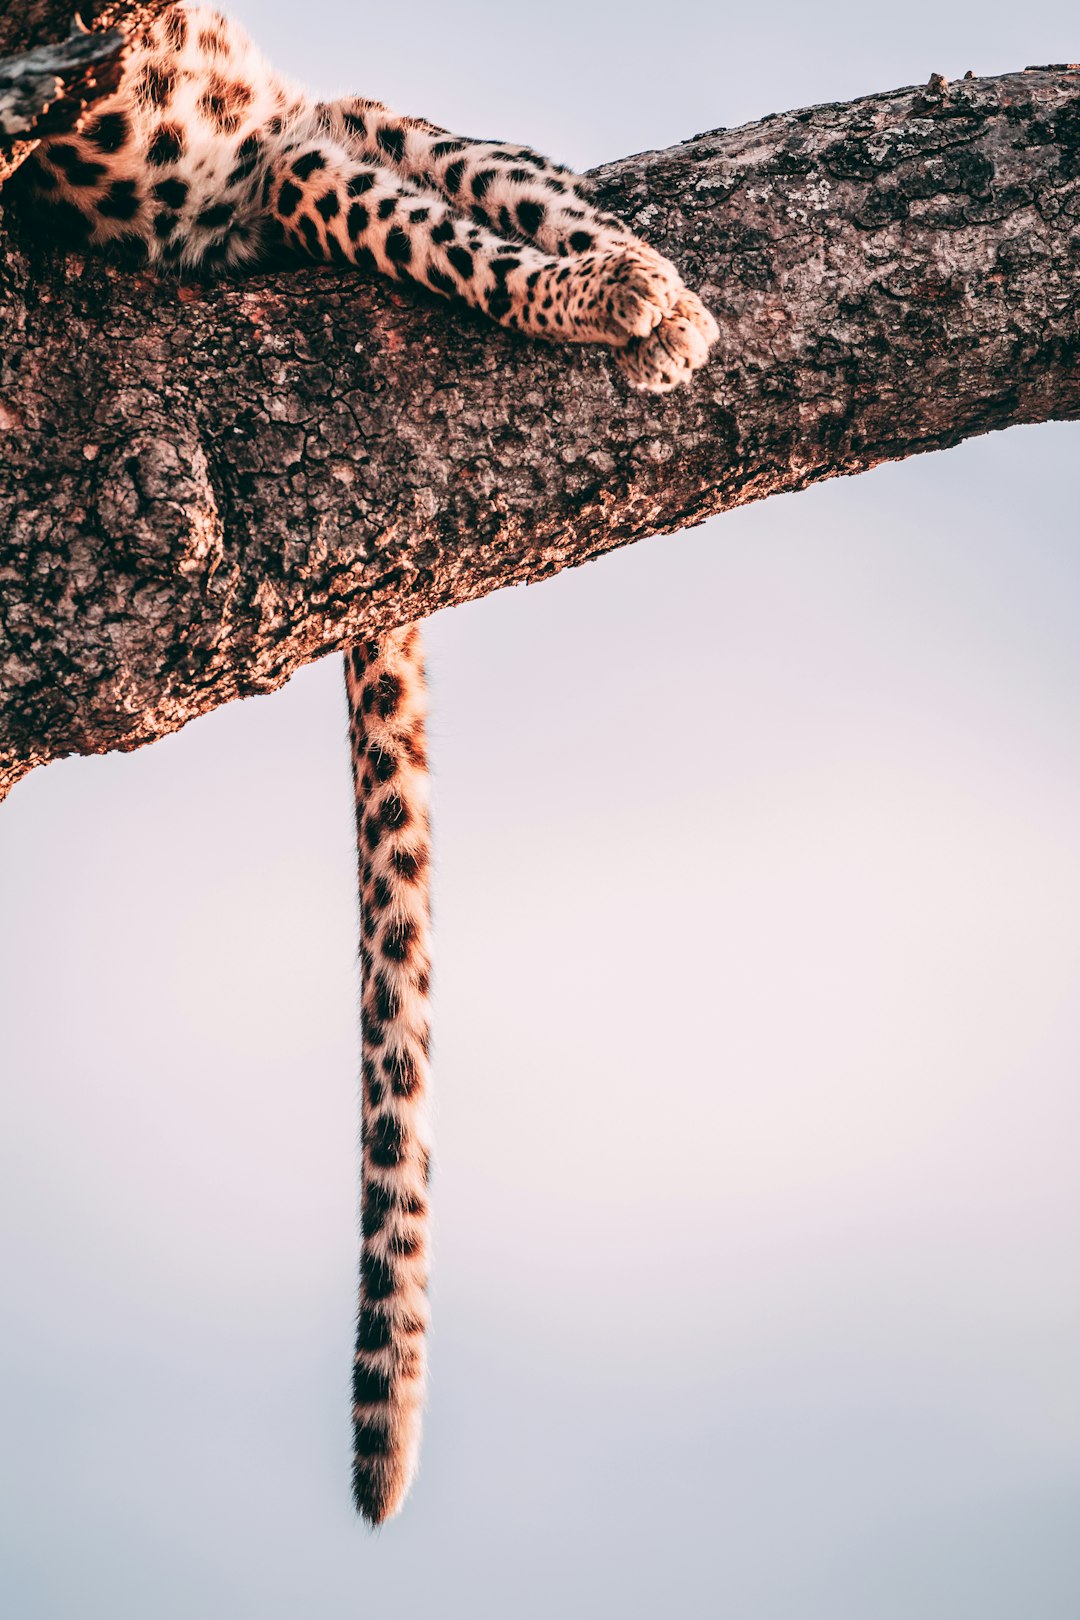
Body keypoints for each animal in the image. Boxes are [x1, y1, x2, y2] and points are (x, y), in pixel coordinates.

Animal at [25, 0, 722, 1522]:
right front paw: (616, 297)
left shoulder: (290, 123)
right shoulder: (243, 182)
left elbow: (482, 175)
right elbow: (437, 227)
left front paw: (635, 271)